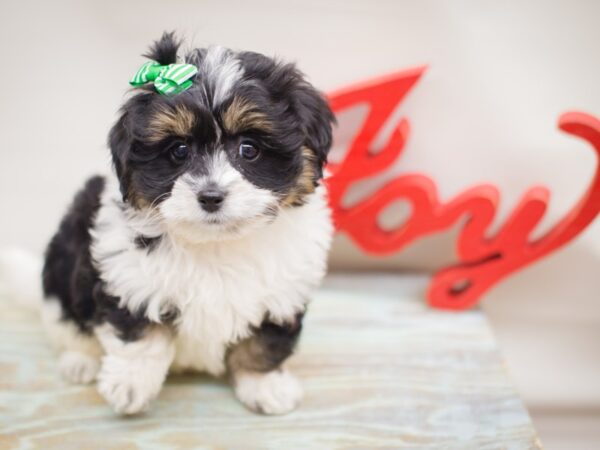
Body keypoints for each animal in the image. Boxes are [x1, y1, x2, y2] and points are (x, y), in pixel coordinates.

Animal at [37, 32, 336, 414]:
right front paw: (130, 384)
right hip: (62, 265)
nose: (210, 196)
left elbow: (264, 342)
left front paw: (263, 384)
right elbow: (139, 335)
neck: (216, 244)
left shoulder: (283, 292)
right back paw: (80, 360)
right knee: (67, 321)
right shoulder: (127, 274)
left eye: (249, 149)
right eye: (179, 150)